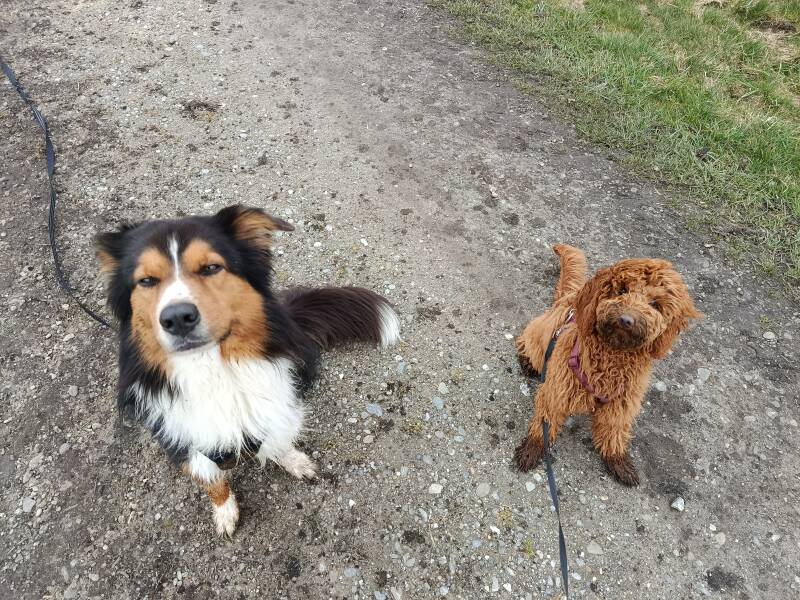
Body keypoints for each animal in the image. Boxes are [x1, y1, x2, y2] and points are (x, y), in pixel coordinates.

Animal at [95, 205, 400, 536]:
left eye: (211, 268)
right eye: (147, 281)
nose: (177, 318)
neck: (212, 369)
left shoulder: (274, 404)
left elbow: (279, 437)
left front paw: (294, 460)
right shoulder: (184, 440)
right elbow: (213, 482)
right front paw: (225, 512)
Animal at [514, 244, 700, 485]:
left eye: (655, 304)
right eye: (621, 290)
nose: (626, 320)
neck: (612, 358)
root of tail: (571, 296)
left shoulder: (621, 405)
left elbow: (614, 431)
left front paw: (617, 460)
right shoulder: (556, 392)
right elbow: (545, 423)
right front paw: (532, 449)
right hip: (541, 336)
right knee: (528, 340)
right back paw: (527, 361)